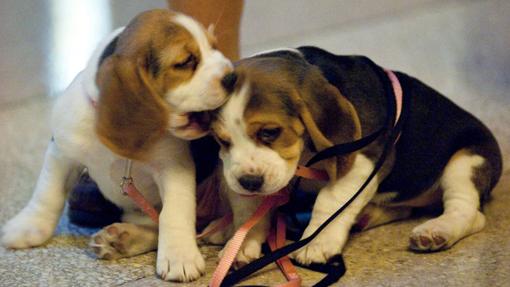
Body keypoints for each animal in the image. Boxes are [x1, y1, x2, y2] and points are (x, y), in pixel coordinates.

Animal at [0, 9, 234, 284]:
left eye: (215, 47)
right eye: (186, 62)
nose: (233, 76)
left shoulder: (174, 167)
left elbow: (174, 213)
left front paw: (180, 256)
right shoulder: (62, 152)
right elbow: (47, 193)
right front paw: (29, 226)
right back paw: (121, 240)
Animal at [208, 47, 502, 268]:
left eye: (270, 132)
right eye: (222, 141)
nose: (249, 182)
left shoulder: (361, 161)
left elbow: (329, 202)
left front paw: (318, 241)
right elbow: (250, 211)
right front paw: (241, 241)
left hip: (468, 160)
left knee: (468, 211)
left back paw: (437, 231)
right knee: (405, 207)